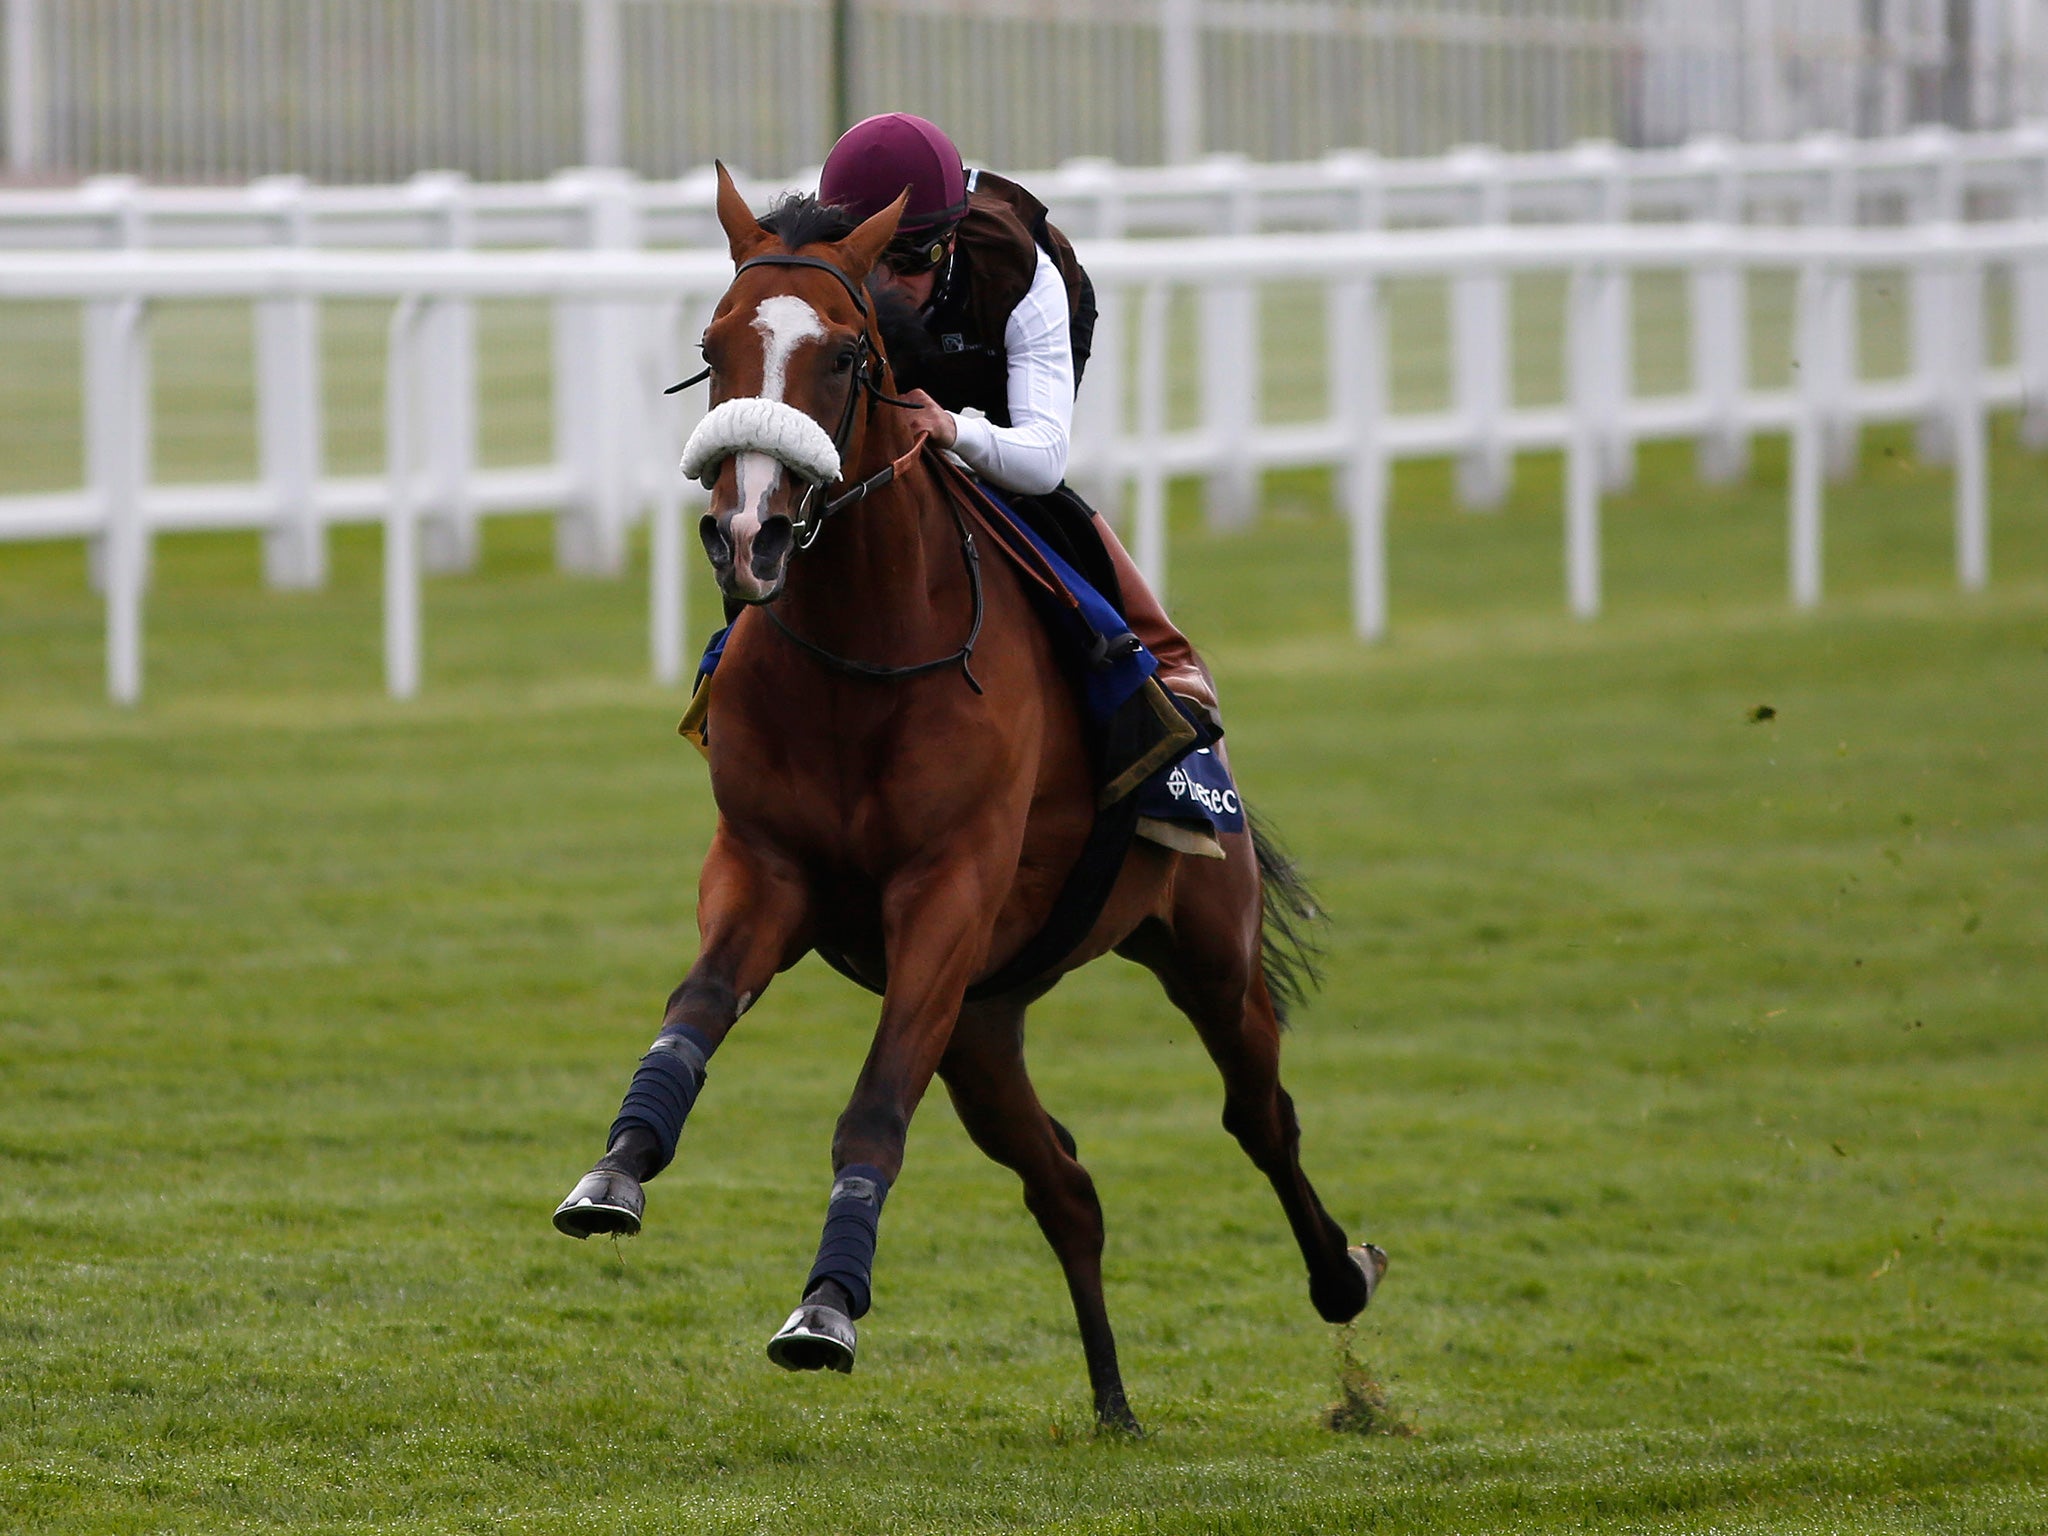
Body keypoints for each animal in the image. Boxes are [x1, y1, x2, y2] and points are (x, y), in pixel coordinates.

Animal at [552, 165, 1384, 1433]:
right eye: (712, 344)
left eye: (845, 355)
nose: (749, 533)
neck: (860, 653)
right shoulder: (764, 867)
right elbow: (691, 1013)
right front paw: (616, 1169)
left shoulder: (945, 893)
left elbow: (871, 1106)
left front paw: (825, 1309)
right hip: (984, 1022)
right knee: (1066, 1183)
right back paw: (1111, 1403)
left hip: (1201, 946)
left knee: (1259, 1113)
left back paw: (1341, 1276)